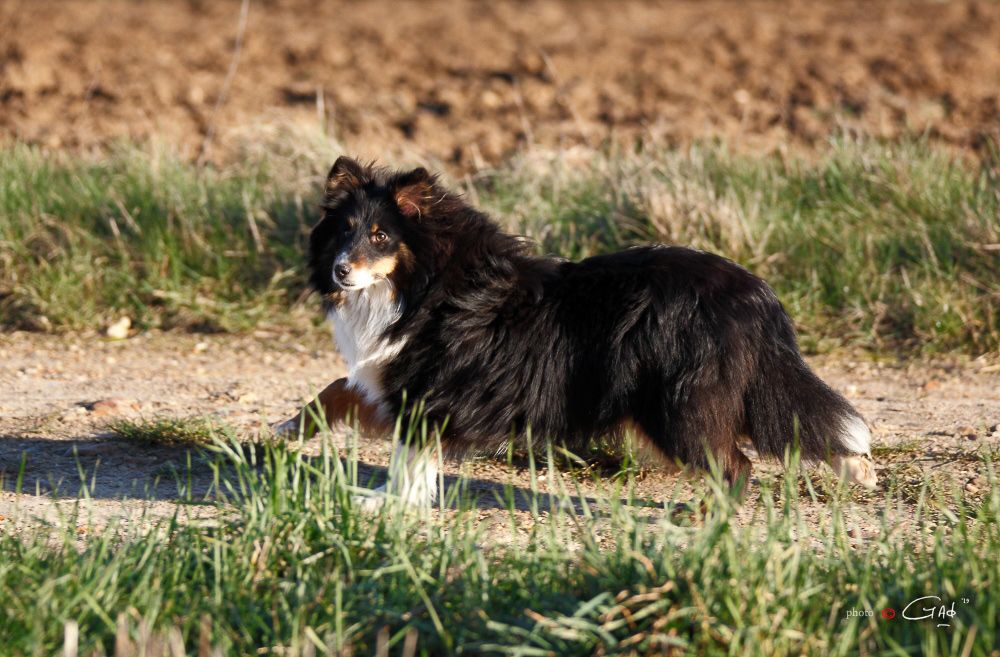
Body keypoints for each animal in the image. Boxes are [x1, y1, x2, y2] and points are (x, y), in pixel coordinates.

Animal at [274, 156, 876, 504]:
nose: (340, 271)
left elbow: (407, 460)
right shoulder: (391, 381)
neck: (415, 285)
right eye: (344, 231)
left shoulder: (424, 389)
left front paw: (388, 506)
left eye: (381, 235)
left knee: (736, 464)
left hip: (677, 402)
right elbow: (338, 389)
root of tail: (754, 293)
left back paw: (710, 524)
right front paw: (287, 428)